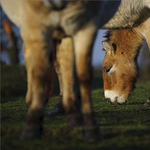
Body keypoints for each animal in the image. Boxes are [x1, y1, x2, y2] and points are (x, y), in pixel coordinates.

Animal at [0, 0, 121, 141]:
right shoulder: (36, 26)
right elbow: (39, 73)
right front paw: (31, 128)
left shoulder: (86, 26)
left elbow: (82, 74)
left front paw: (91, 130)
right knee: (32, 60)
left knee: (65, 66)